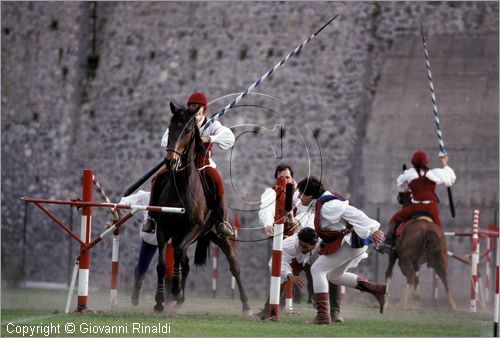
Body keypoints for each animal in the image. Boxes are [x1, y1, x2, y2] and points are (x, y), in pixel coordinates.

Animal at [152, 101, 252, 316]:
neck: (181, 187)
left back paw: (247, 306)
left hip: (222, 238)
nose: (170, 161)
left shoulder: (194, 228)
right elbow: (162, 265)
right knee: (185, 262)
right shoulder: (163, 230)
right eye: (171, 128)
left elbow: (177, 255)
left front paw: (174, 290)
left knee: (234, 266)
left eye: (189, 131)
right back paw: (178, 301)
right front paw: (160, 301)